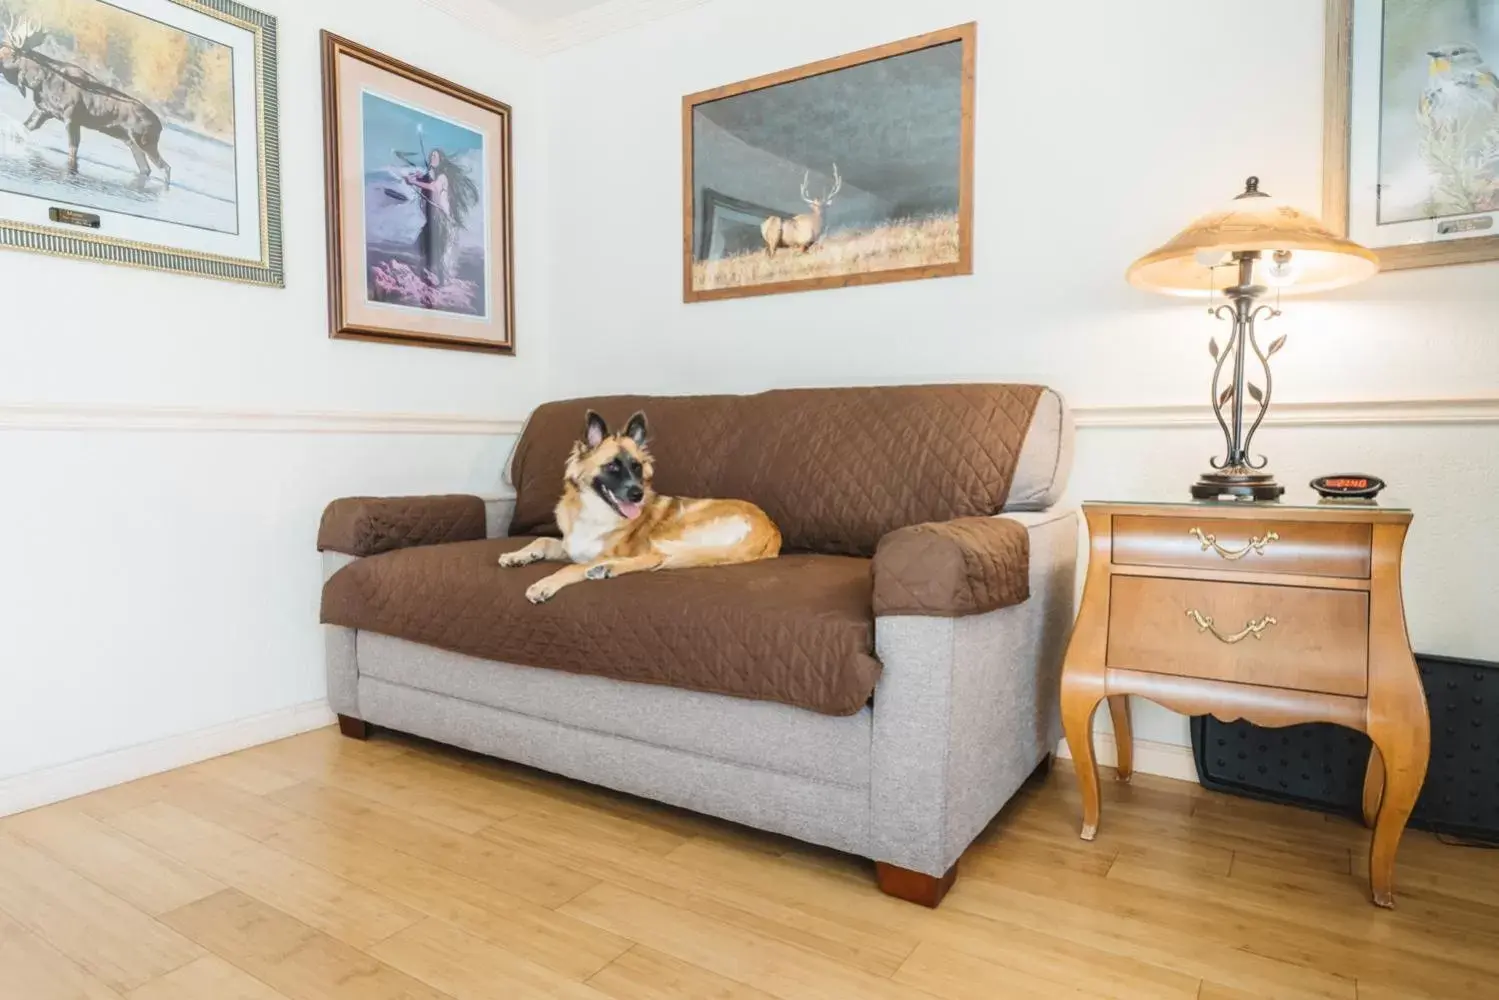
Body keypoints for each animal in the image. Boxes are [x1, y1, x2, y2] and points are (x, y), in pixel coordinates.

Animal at [503, 407, 785, 602]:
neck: (596, 511)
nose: (637, 494)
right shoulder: (572, 546)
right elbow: (542, 540)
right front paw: (516, 555)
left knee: (658, 556)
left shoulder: (604, 552)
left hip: (676, 529)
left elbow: (573, 566)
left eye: (637, 467)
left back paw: (604, 569)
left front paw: (544, 584)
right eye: (612, 466)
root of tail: (770, 529)